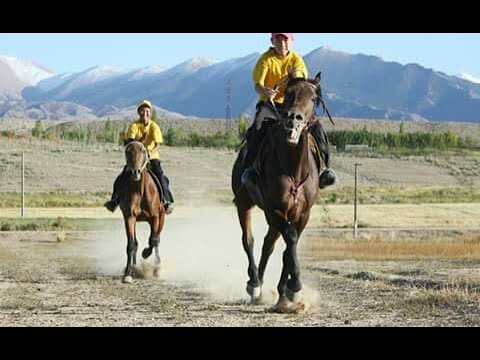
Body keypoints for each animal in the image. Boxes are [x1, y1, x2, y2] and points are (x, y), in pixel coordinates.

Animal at [119, 141, 166, 284]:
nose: (135, 172)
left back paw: (157, 265)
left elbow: (153, 240)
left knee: (156, 240)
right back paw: (134, 266)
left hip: (162, 218)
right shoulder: (129, 217)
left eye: (143, 151)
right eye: (127, 151)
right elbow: (131, 244)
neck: (140, 191)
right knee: (136, 242)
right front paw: (128, 273)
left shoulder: (155, 217)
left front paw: (146, 255)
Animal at [232, 71, 324, 310]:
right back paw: (254, 284)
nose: (293, 118)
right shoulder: (274, 209)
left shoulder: (302, 214)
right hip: (244, 203)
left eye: (313, 98)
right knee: (249, 241)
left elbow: (288, 249)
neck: (294, 169)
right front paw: (295, 287)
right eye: (289, 93)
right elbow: (290, 238)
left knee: (268, 245)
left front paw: (286, 292)